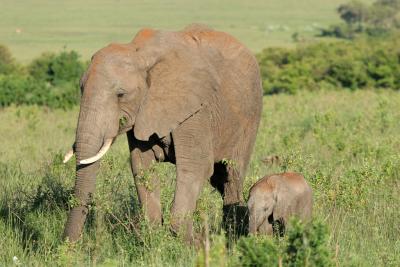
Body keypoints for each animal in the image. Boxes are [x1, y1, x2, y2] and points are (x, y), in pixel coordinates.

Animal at [62, 24, 262, 243]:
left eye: (121, 94)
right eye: (81, 89)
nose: (67, 243)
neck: (139, 53)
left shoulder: (195, 109)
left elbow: (195, 166)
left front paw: (191, 242)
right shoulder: (142, 110)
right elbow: (141, 165)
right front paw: (154, 235)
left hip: (250, 117)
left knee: (231, 175)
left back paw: (232, 234)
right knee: (219, 179)